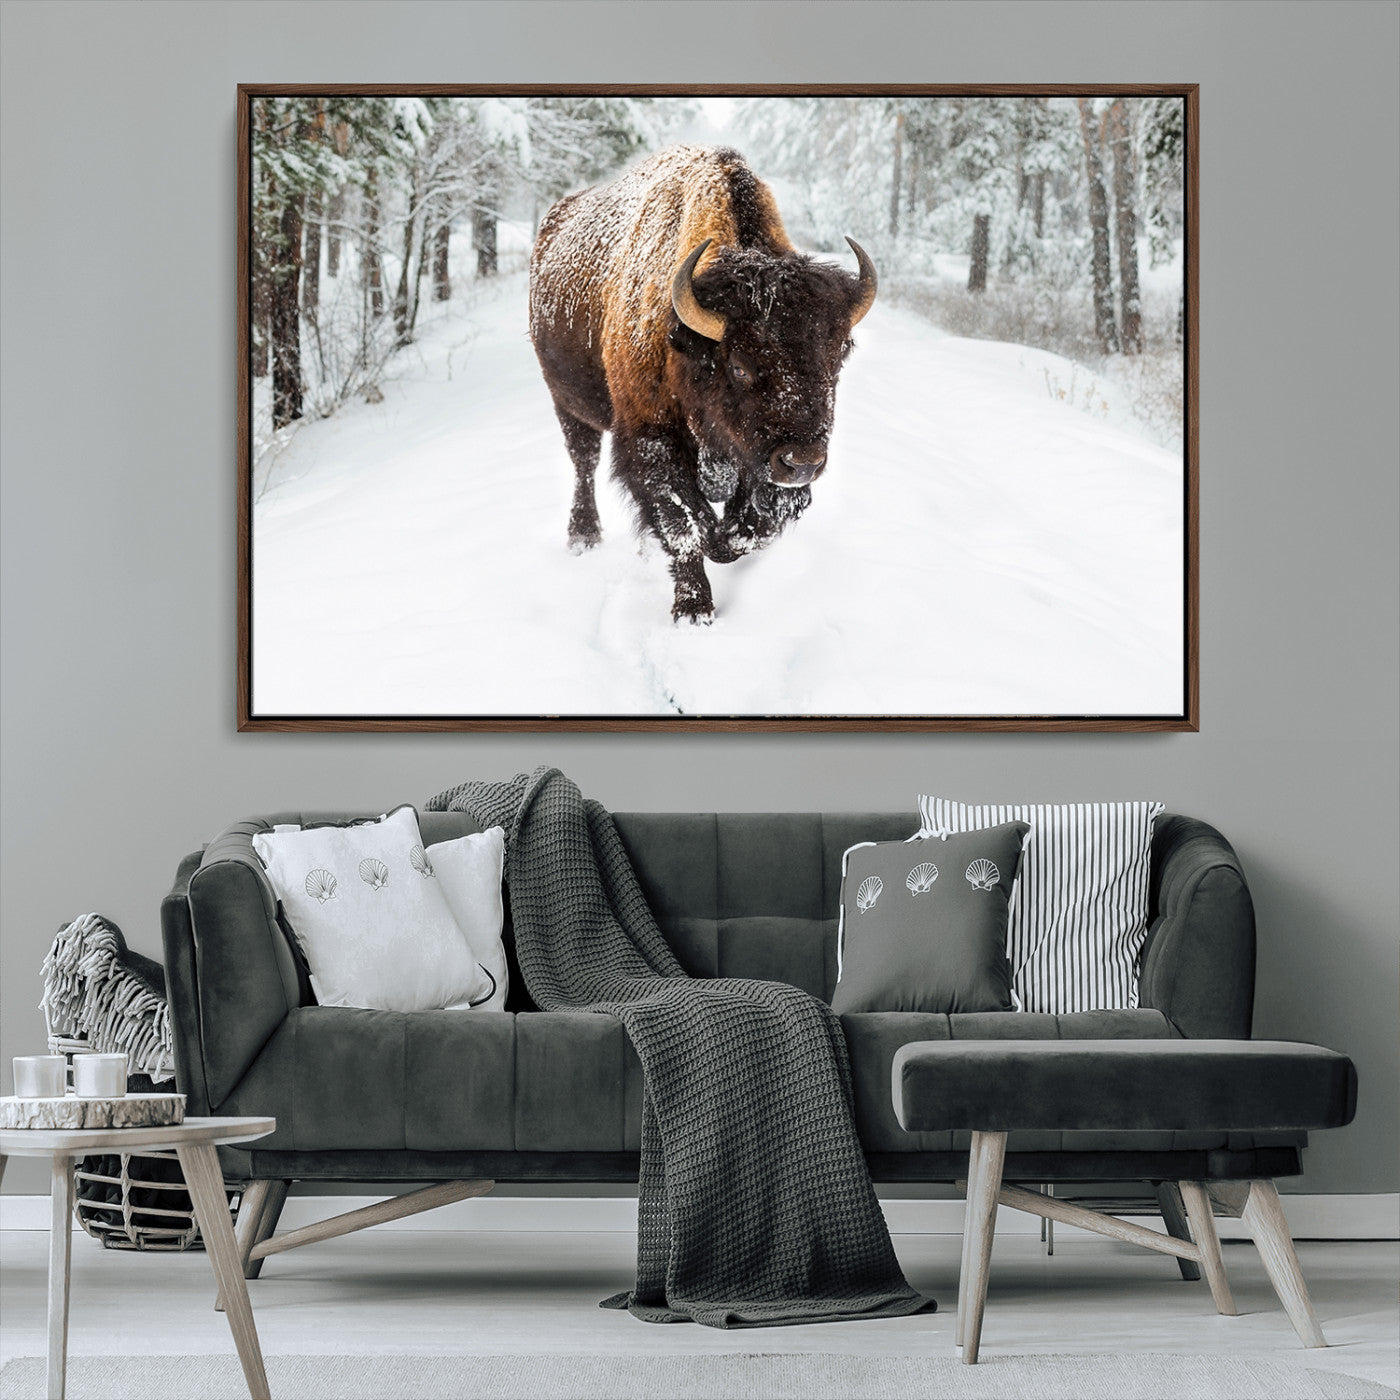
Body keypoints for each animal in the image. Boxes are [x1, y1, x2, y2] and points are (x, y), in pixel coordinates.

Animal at [528, 144, 876, 623]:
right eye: (740, 366)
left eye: (838, 355)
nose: (802, 462)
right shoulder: (651, 440)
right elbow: (685, 526)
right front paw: (693, 609)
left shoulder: (756, 462)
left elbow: (752, 528)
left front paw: (724, 541)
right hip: (566, 402)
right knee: (583, 462)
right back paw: (583, 536)